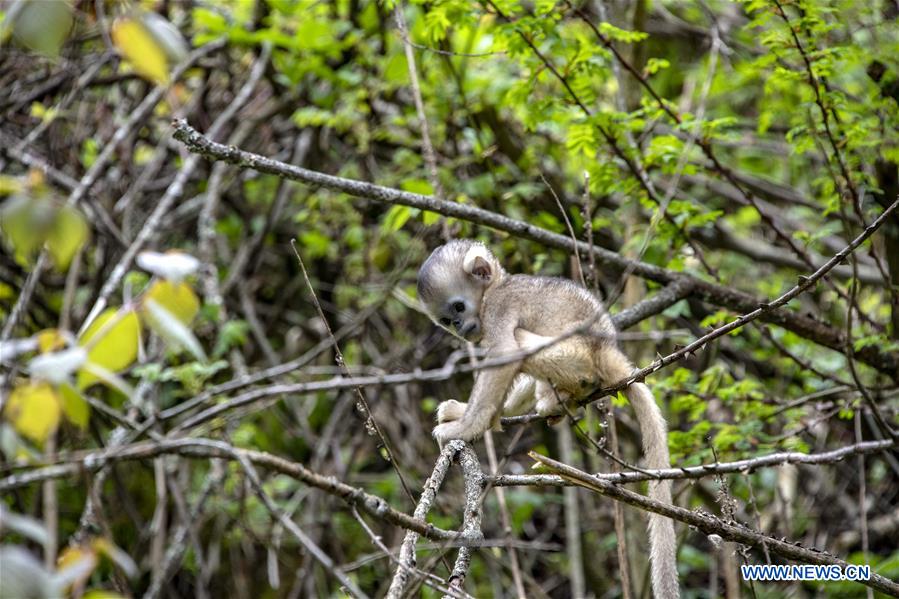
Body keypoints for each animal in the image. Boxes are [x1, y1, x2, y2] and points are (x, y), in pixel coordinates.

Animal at [418, 240, 680, 599]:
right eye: (446, 318)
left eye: (459, 307)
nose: (458, 327)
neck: (496, 286)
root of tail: (605, 349)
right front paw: (465, 413)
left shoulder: (498, 308)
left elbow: (505, 354)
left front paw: (465, 425)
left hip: (574, 356)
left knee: (522, 343)